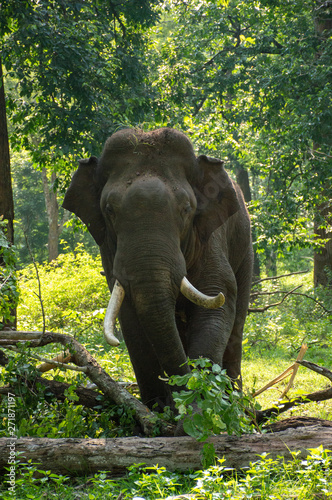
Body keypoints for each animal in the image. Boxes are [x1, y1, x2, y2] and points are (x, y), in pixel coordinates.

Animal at [63, 127, 254, 416]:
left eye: (186, 209)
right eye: (109, 210)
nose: (178, 401)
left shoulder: (211, 237)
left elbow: (218, 298)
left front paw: (199, 406)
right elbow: (131, 320)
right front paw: (159, 411)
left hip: (246, 253)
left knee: (237, 322)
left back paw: (239, 407)